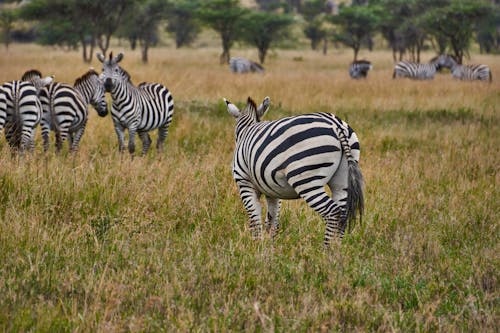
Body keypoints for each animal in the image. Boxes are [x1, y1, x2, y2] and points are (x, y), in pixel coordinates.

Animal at [225, 96, 366, 246]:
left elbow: (255, 218)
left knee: (333, 213)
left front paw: (256, 245)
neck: (247, 129)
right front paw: (269, 246)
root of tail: (336, 124)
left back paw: (325, 250)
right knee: (343, 214)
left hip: (306, 179)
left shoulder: (244, 182)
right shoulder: (271, 191)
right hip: (342, 179)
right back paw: (336, 249)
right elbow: (272, 220)